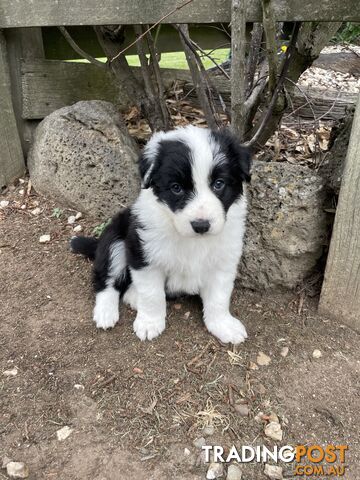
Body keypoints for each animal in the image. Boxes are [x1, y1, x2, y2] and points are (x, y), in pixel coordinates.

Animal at [70, 125, 250, 344]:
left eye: (219, 184)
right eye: (176, 188)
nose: (201, 225)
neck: (191, 240)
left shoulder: (224, 260)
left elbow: (219, 297)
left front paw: (223, 325)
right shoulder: (144, 254)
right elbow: (152, 295)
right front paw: (149, 323)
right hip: (115, 240)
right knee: (106, 280)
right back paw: (106, 313)